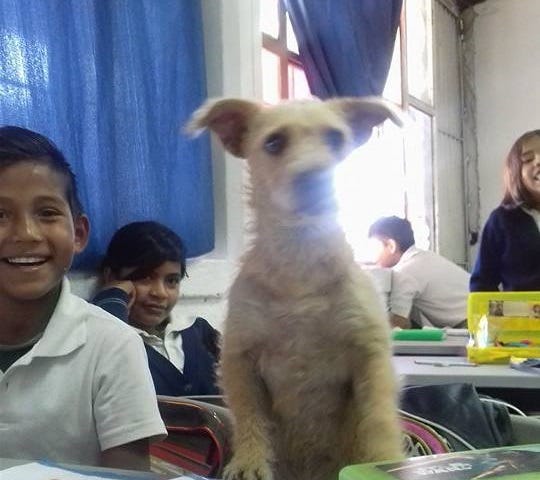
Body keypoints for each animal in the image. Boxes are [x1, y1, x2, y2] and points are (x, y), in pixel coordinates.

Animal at [190, 97, 404, 480]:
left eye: (336, 138)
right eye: (274, 142)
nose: (315, 179)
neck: (299, 260)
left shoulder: (371, 355)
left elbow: (378, 419)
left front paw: (387, 461)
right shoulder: (240, 359)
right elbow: (250, 417)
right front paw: (249, 462)